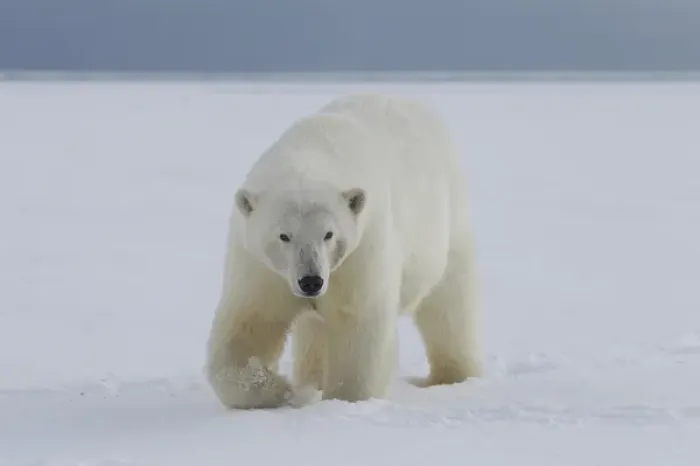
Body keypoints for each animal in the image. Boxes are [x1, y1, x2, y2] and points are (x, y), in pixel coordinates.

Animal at [205, 93, 482, 409]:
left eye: (329, 234)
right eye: (284, 236)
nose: (311, 281)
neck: (309, 152)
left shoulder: (361, 251)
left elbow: (358, 321)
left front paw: (345, 400)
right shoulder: (260, 266)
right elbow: (250, 322)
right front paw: (281, 390)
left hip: (444, 224)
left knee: (449, 305)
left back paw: (453, 376)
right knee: (313, 330)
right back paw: (310, 379)